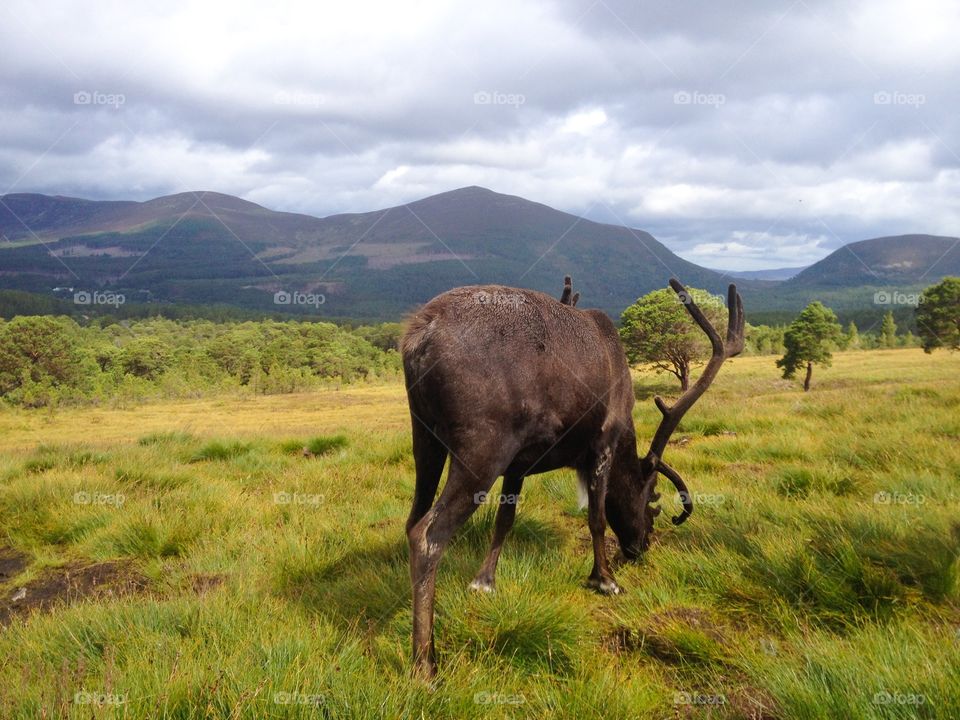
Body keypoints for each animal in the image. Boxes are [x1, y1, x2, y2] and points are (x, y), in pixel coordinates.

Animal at [402, 278, 748, 680]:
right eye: (653, 501)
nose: (641, 546)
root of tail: (421, 334)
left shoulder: (518, 465)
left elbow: (505, 521)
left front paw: (485, 581)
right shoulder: (603, 441)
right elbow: (596, 518)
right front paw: (605, 579)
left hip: (425, 438)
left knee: (412, 519)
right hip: (482, 447)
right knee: (427, 535)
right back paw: (425, 663)